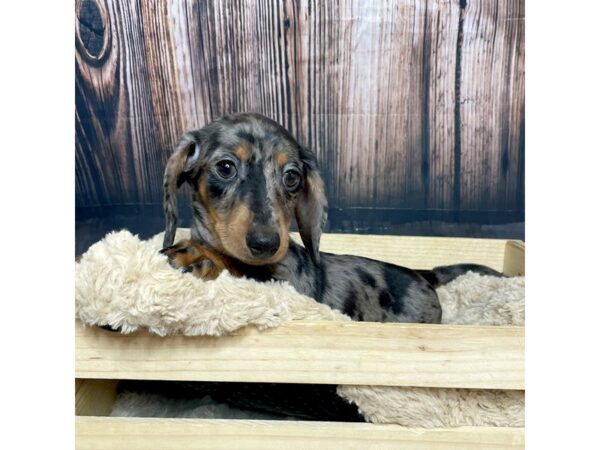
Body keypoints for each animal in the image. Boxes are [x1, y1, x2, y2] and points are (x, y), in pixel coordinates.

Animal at [161, 112, 502, 324]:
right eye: (225, 168)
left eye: (292, 177)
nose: (266, 244)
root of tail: (422, 274)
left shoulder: (288, 287)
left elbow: (240, 270)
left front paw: (200, 257)